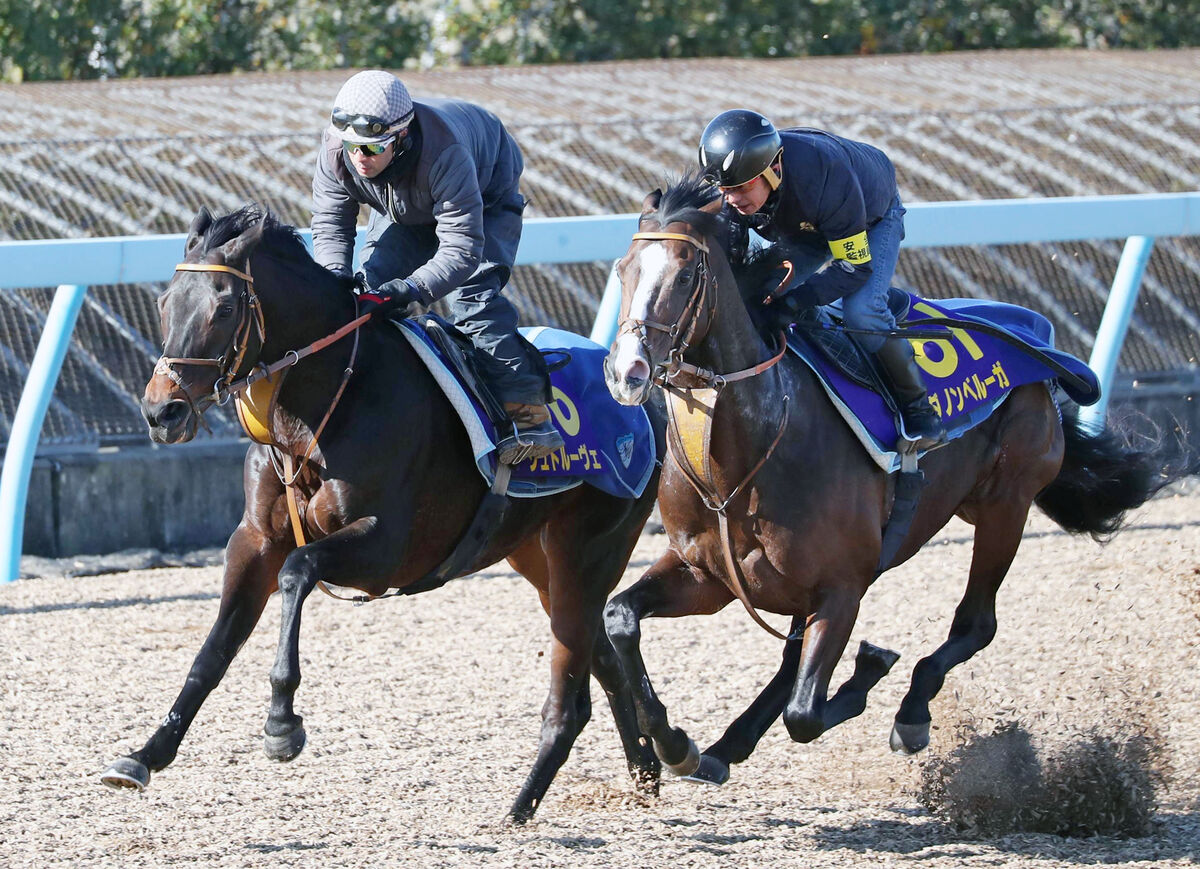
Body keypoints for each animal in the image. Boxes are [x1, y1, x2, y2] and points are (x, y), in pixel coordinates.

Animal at [99, 204, 667, 820]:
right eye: (165, 302)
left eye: (224, 307)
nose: (162, 411)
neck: (322, 406)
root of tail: (641, 399)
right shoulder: (253, 539)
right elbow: (214, 649)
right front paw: (145, 754)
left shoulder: (388, 549)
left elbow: (298, 570)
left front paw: (281, 723)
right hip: (536, 557)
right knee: (598, 655)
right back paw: (647, 769)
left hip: (591, 549)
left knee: (575, 688)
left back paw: (525, 805)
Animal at [604, 172, 1185, 782]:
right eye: (623, 270)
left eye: (686, 274)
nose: (627, 371)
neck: (743, 462)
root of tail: (1034, 337)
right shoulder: (707, 573)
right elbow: (620, 616)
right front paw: (674, 742)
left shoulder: (842, 589)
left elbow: (805, 715)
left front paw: (871, 671)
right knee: (790, 661)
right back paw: (724, 747)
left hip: (1007, 503)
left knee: (975, 624)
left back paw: (911, 713)